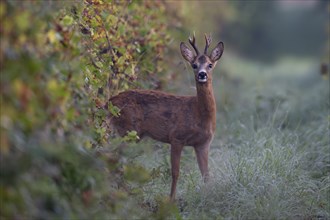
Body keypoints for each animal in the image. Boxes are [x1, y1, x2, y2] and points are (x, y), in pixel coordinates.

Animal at [109, 34, 223, 201]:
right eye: (194, 65)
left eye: (210, 65)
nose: (202, 74)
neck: (199, 115)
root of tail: (109, 102)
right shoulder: (176, 137)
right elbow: (175, 173)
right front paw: (171, 200)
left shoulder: (203, 144)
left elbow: (206, 175)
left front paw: (209, 197)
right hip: (127, 128)